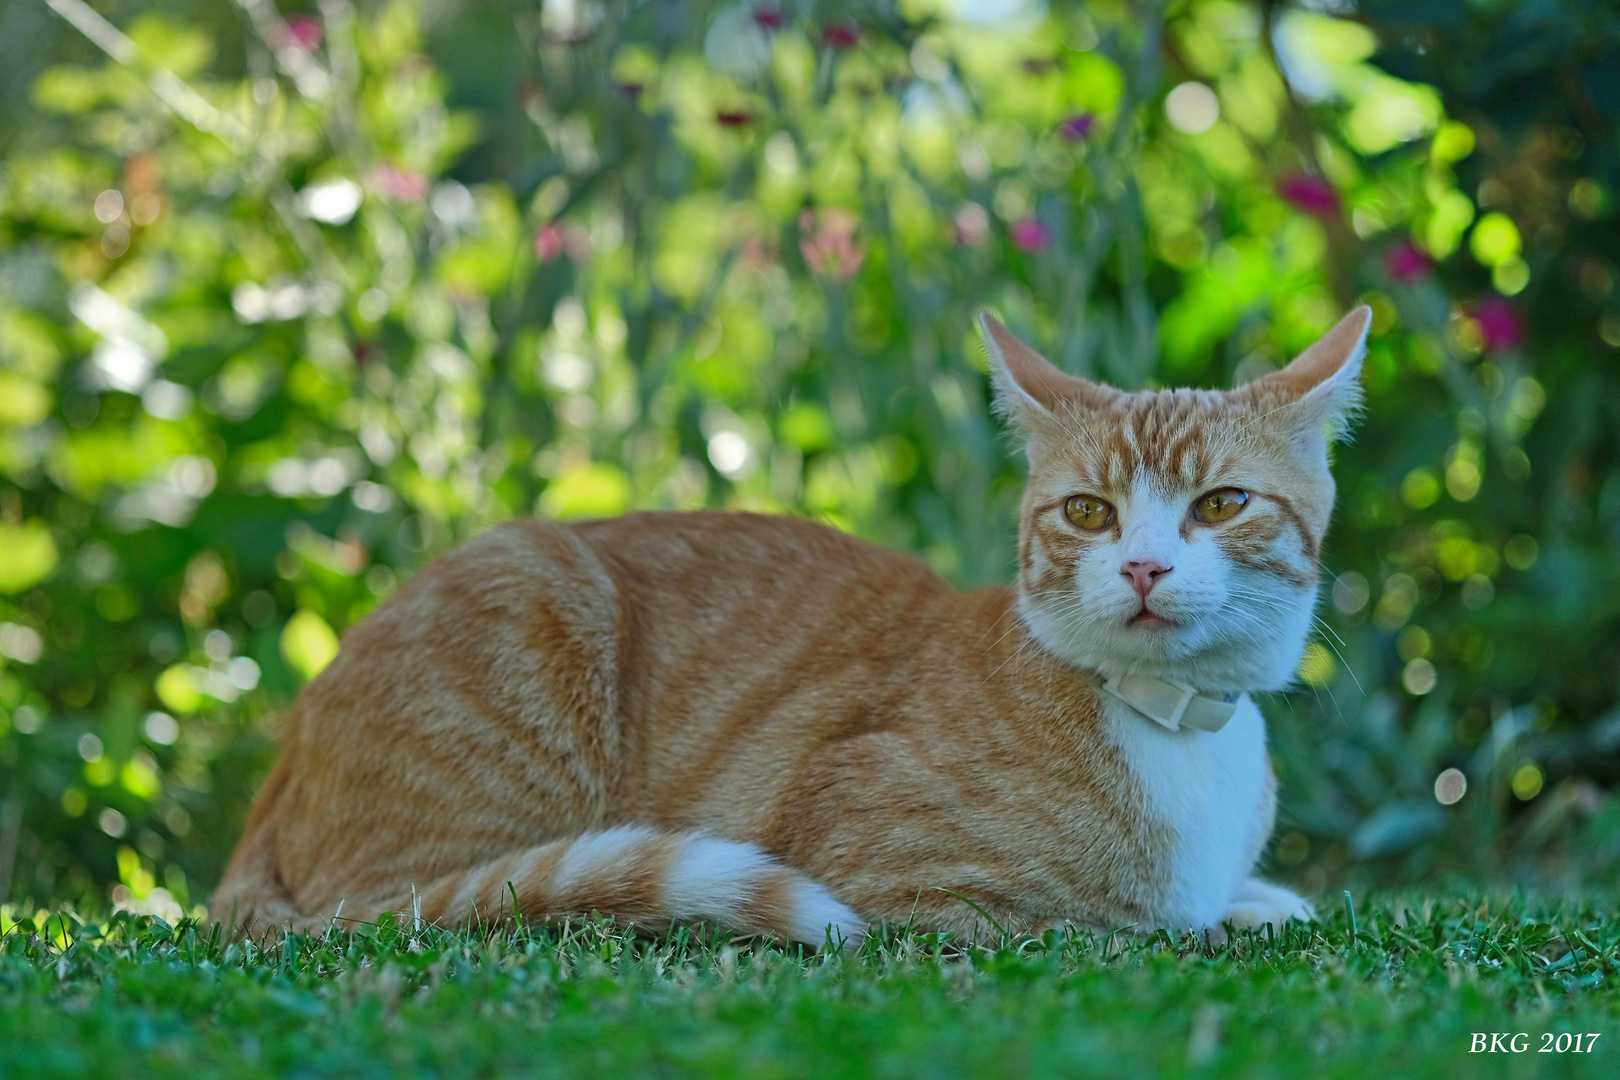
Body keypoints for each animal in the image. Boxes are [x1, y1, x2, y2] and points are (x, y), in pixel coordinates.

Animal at [215, 304, 1373, 945]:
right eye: (1090, 512)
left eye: (1221, 504)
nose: (1142, 564)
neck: (1172, 728)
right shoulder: (902, 885)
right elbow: (1116, 928)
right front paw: (1202, 918)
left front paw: (1254, 900)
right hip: (524, 606)